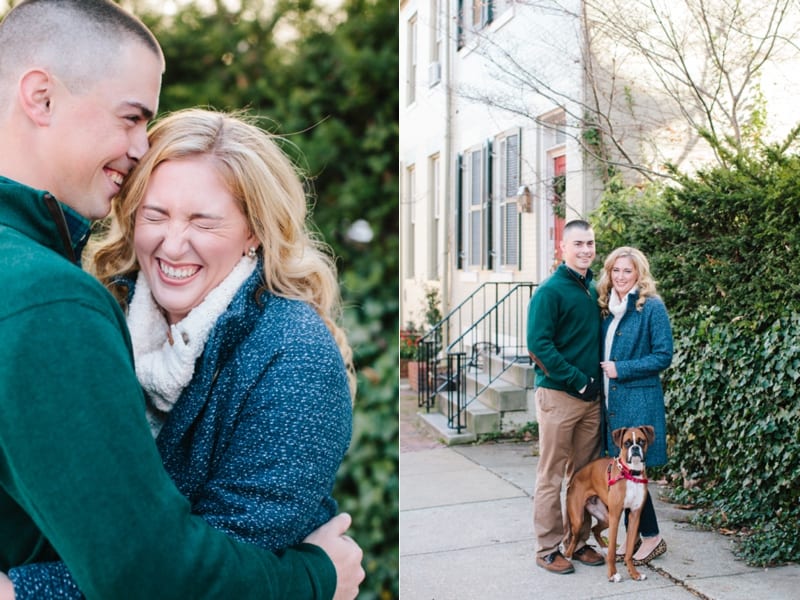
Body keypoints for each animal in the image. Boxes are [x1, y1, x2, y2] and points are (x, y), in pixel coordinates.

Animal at [564, 424, 652, 584]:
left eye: (641, 441)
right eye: (627, 443)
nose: (635, 448)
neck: (631, 474)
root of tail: (574, 478)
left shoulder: (634, 516)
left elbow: (629, 551)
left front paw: (634, 573)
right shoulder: (616, 516)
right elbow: (612, 550)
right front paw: (612, 574)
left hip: (605, 518)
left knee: (595, 529)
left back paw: (603, 548)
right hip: (580, 519)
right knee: (575, 537)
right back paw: (568, 555)